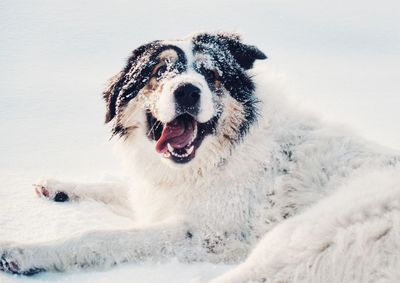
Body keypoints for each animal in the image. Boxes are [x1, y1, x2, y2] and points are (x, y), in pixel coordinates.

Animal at [0, 32, 400, 282]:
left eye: (211, 74)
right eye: (159, 71)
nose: (188, 91)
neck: (220, 155)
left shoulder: (206, 234)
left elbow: (100, 237)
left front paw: (26, 251)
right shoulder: (161, 193)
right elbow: (119, 187)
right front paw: (57, 186)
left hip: (300, 235)